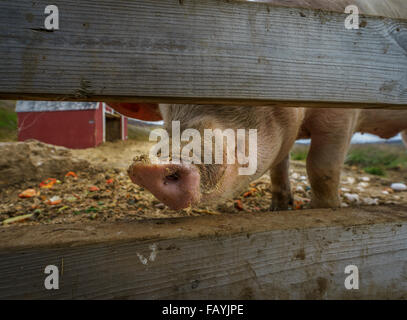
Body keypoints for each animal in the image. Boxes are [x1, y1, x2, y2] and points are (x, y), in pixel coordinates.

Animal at [129, 104, 407, 210]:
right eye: (167, 115)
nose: (150, 169)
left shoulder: (343, 114)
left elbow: (321, 167)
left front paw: (322, 210)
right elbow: (279, 167)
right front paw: (277, 209)